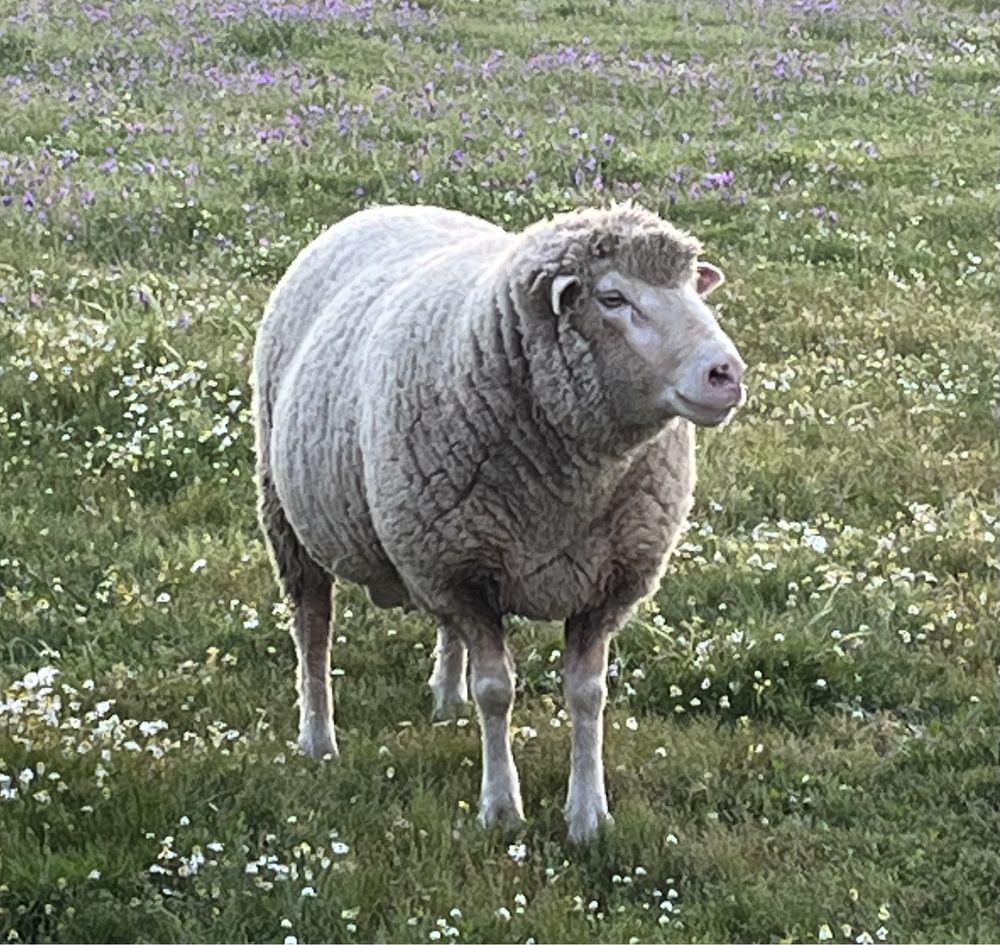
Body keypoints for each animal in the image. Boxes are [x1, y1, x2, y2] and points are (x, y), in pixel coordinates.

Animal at [254, 201, 748, 840]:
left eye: (692, 287)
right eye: (613, 298)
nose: (726, 373)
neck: (569, 493)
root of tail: (388, 206)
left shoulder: (604, 581)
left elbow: (587, 694)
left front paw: (588, 815)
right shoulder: (464, 574)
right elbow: (495, 691)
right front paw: (501, 809)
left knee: (441, 630)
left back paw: (446, 699)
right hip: (290, 514)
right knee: (313, 631)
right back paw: (318, 737)